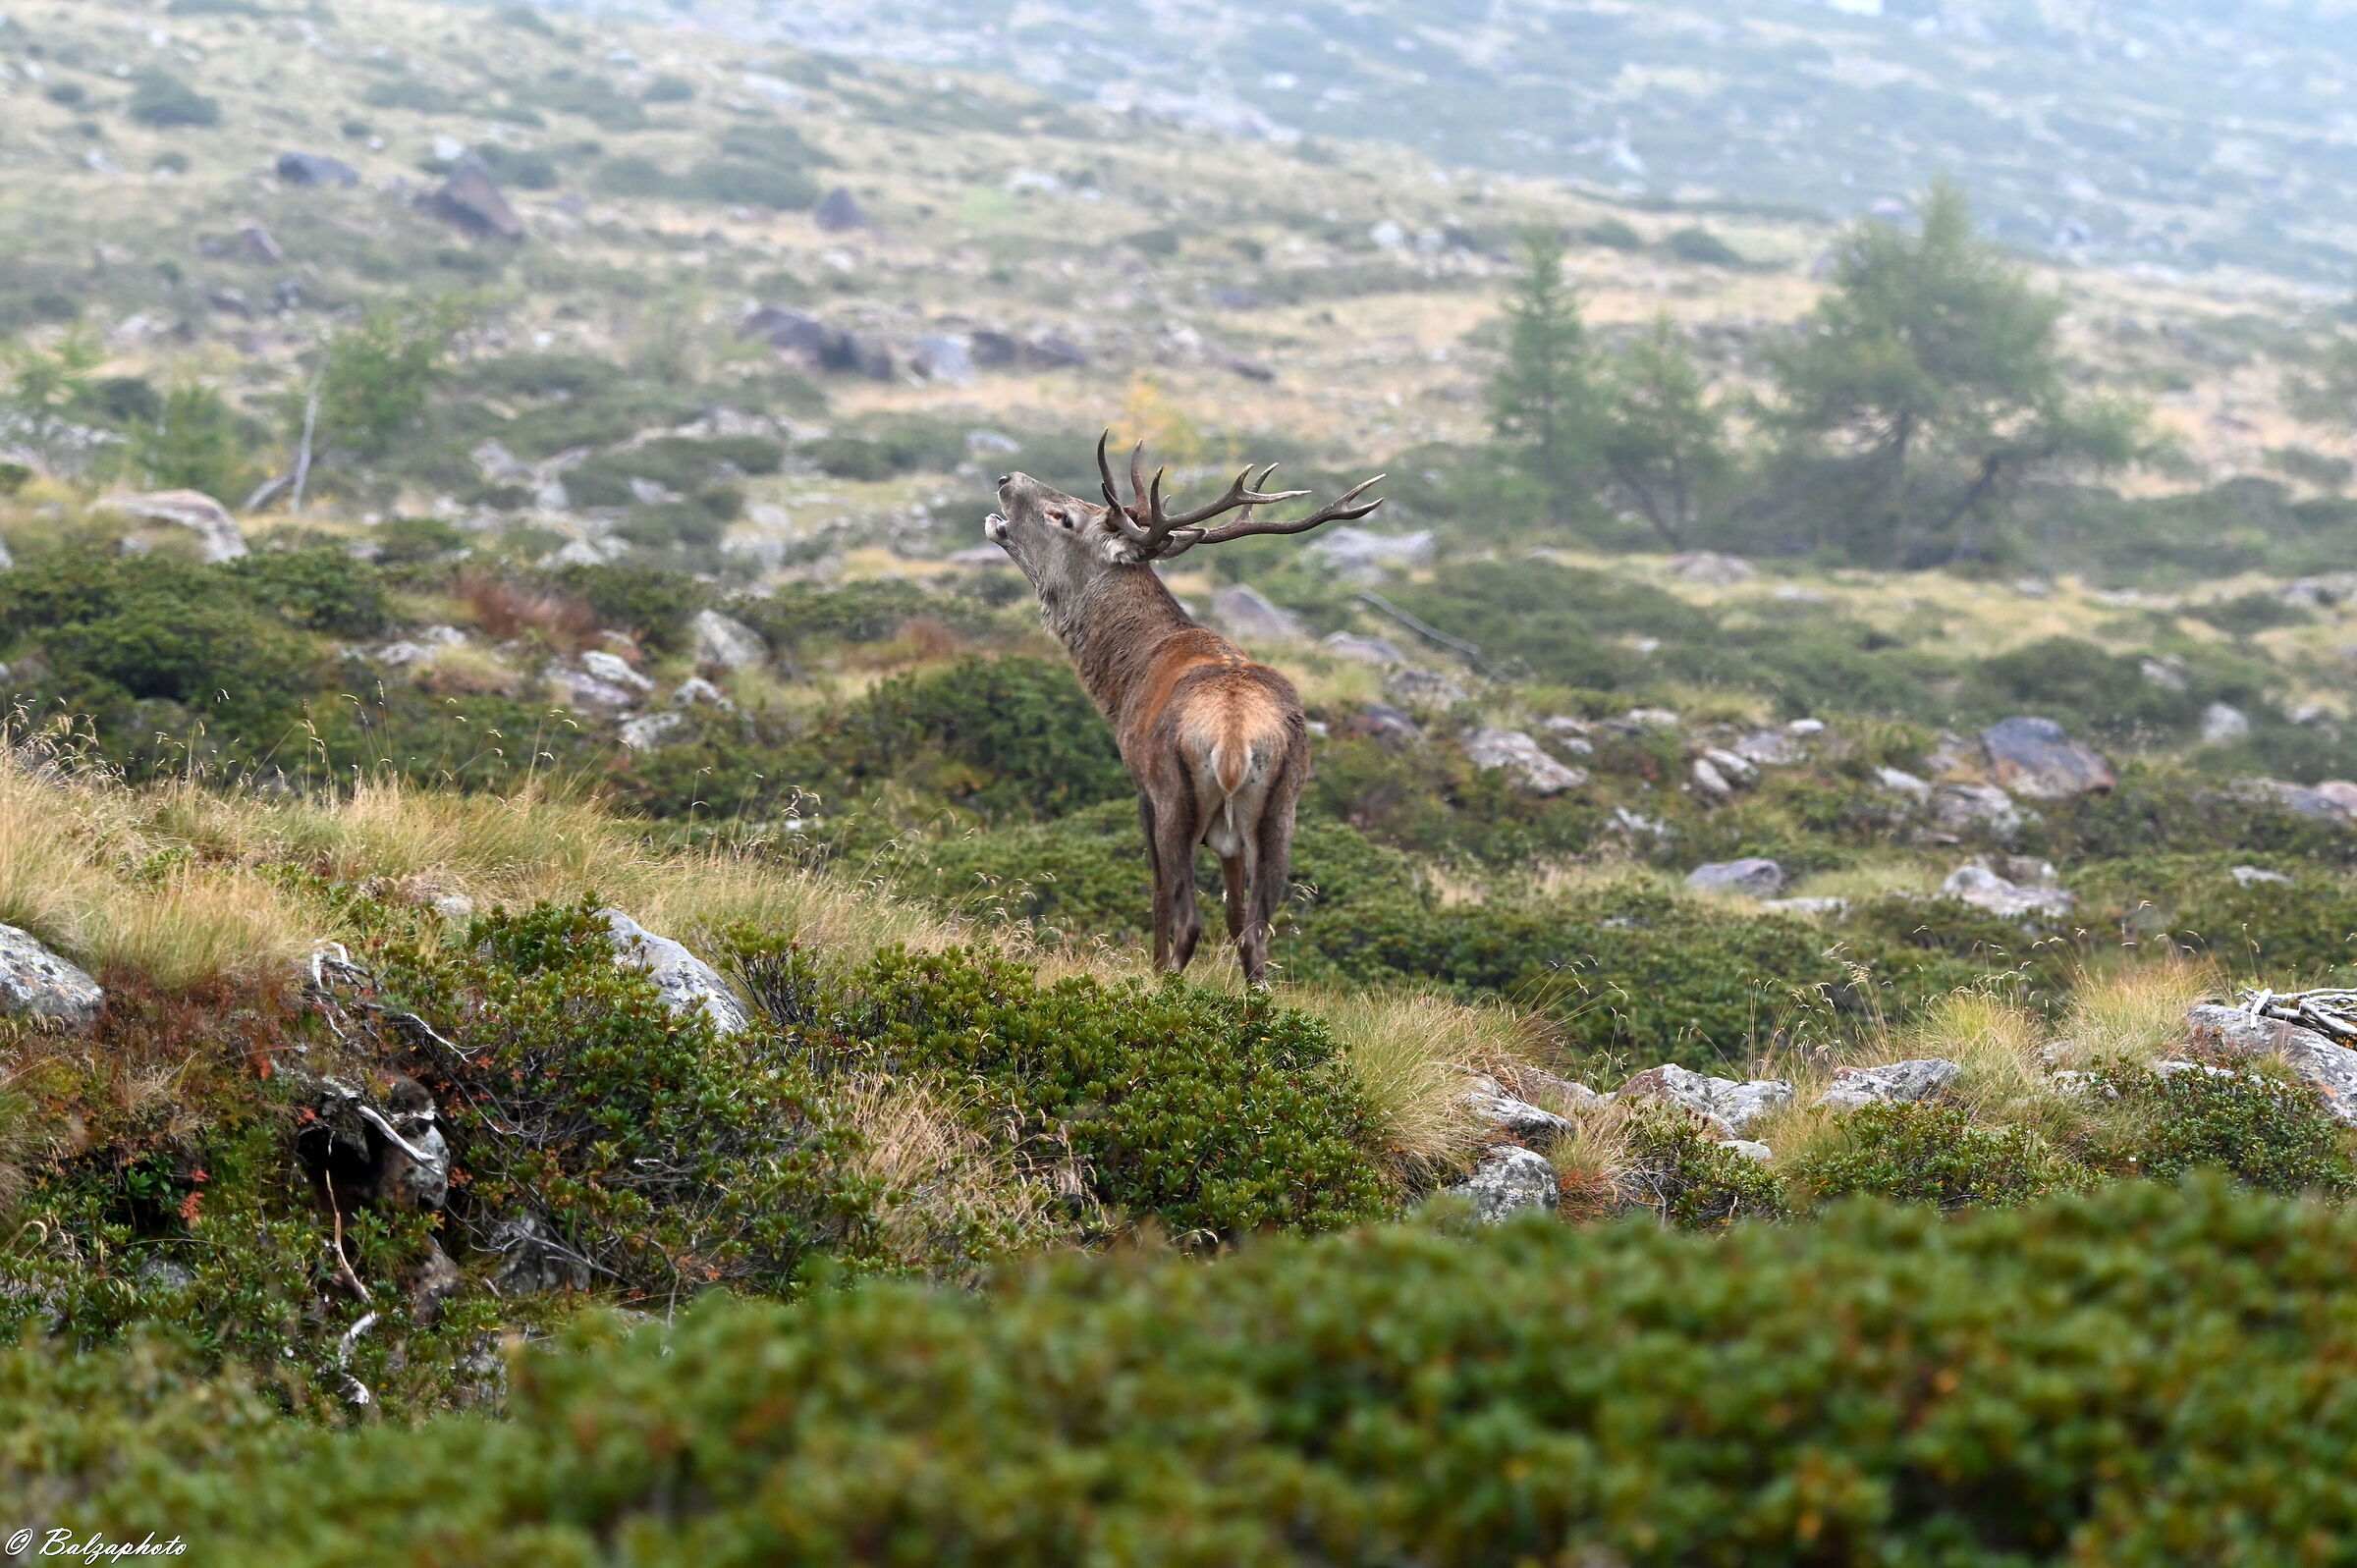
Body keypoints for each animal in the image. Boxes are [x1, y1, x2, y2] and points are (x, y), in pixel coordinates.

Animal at [984, 435, 1383, 985]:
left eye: (1063, 516)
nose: (1006, 479)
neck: (1121, 683)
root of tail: (1235, 741)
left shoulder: (1142, 790)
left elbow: (1158, 898)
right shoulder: (1234, 836)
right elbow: (1235, 916)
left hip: (1178, 800)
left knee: (1189, 918)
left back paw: (1163, 986)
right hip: (1280, 812)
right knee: (1257, 932)